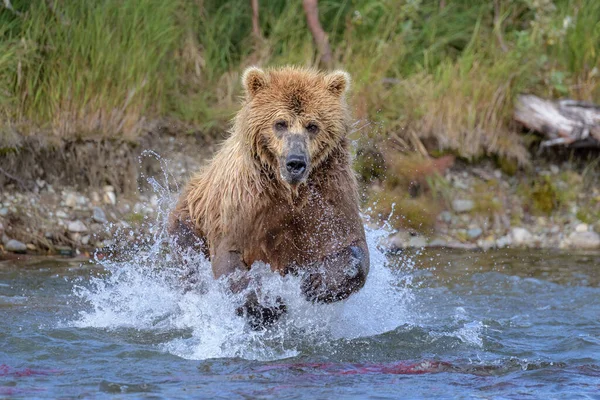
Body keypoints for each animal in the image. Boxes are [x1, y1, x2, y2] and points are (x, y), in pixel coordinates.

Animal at [166, 66, 368, 324]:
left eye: (312, 125)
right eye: (280, 123)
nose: (295, 162)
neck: (289, 191)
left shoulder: (329, 194)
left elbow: (350, 243)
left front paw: (316, 284)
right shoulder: (246, 203)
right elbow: (230, 257)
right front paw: (267, 305)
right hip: (190, 220)